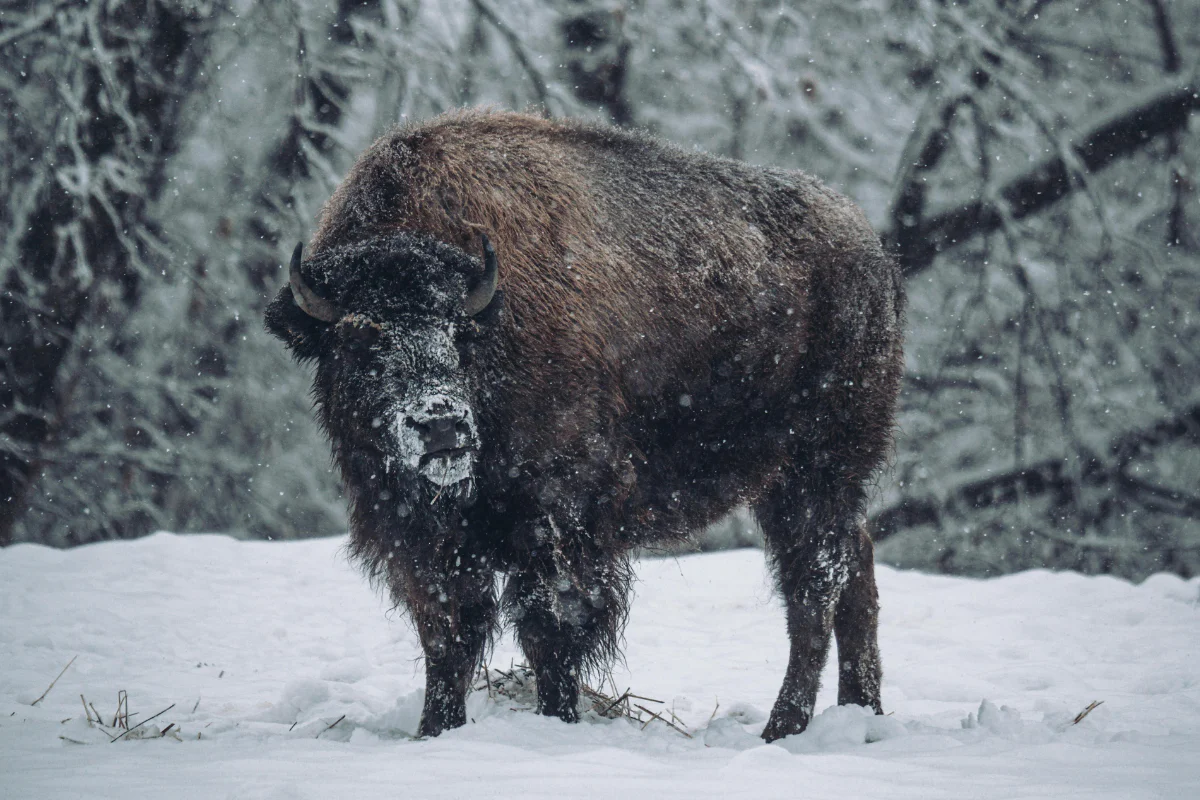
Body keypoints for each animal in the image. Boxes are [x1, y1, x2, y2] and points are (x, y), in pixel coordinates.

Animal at [265, 109, 905, 741]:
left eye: (459, 335)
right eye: (358, 339)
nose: (441, 426)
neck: (493, 314)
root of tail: (873, 255)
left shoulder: (561, 519)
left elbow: (551, 627)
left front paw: (558, 721)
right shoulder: (424, 540)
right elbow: (449, 635)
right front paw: (435, 731)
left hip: (816, 469)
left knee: (814, 585)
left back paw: (783, 727)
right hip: (794, 482)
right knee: (854, 570)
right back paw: (861, 713)